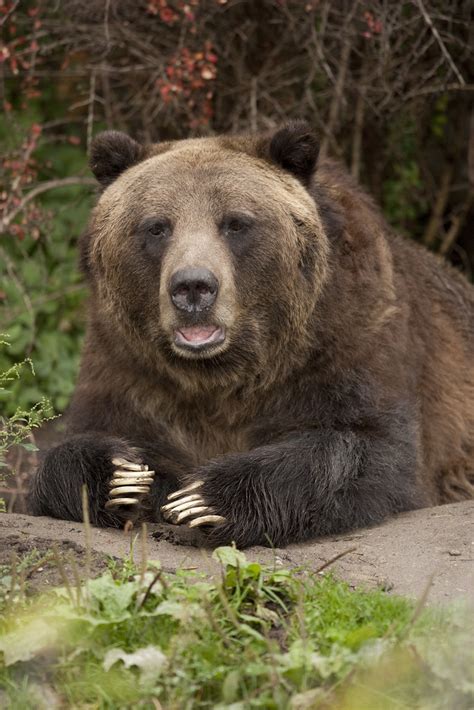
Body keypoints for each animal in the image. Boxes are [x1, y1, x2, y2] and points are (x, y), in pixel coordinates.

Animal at [28, 121, 474, 552]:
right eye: (157, 227)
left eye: (236, 223)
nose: (193, 287)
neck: (223, 372)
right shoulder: (127, 365)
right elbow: (79, 447)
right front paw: (119, 475)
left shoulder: (348, 340)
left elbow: (371, 448)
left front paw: (205, 498)